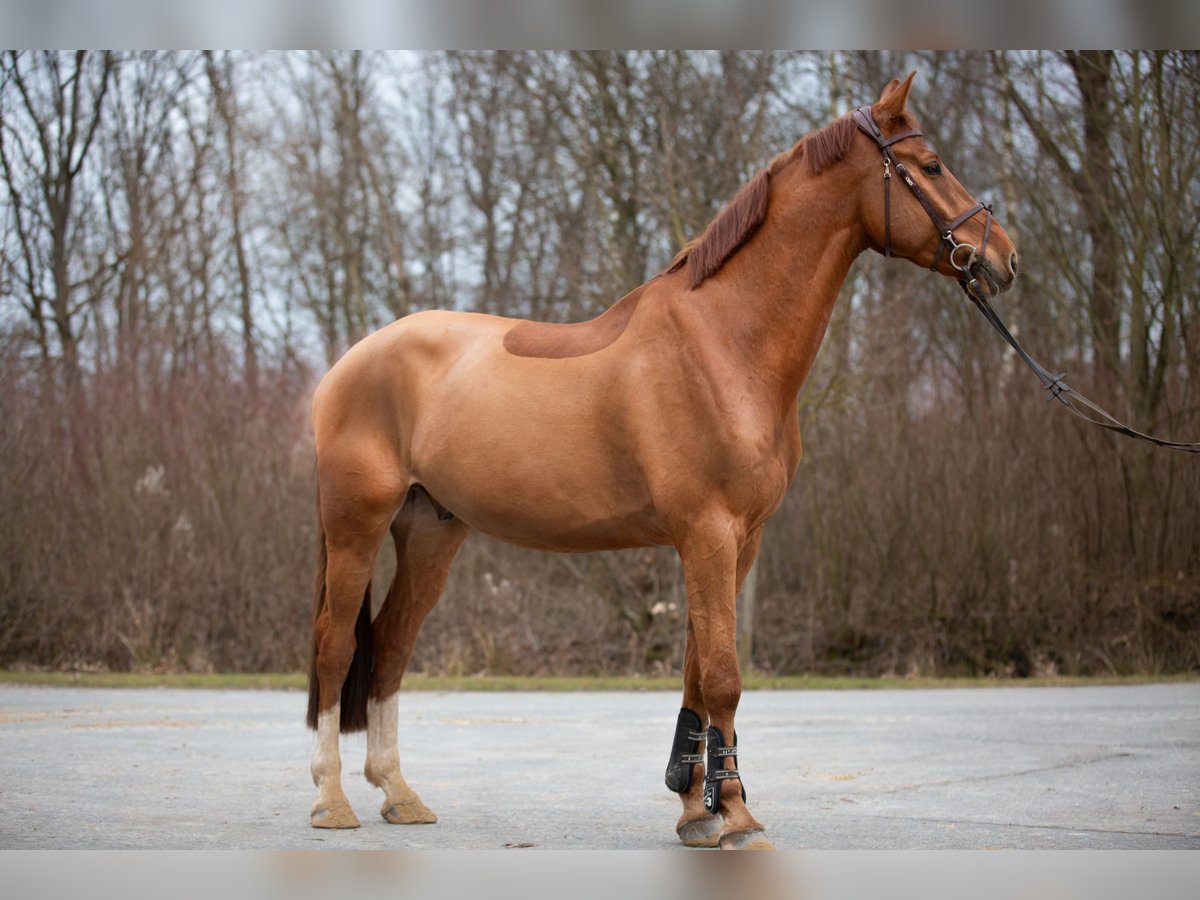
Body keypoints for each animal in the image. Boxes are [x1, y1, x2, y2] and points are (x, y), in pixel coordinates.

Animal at [304, 74, 1017, 849]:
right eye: (932, 165)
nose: (1004, 258)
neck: (723, 344)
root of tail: (347, 365)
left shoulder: (737, 538)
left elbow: (698, 671)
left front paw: (695, 809)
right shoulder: (706, 532)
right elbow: (725, 675)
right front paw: (734, 816)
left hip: (431, 530)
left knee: (391, 648)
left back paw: (399, 794)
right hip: (357, 524)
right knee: (335, 646)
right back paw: (331, 801)